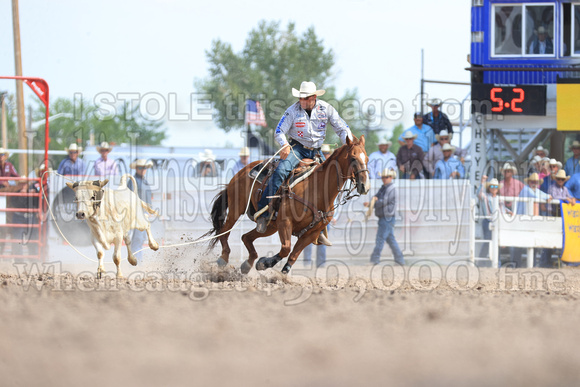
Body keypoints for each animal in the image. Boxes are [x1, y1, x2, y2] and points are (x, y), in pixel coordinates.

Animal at [206, 135, 370, 274]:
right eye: (353, 158)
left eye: (367, 158)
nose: (365, 186)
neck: (316, 190)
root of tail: (242, 171)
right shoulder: (285, 222)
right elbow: (286, 248)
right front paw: (264, 263)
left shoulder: (312, 233)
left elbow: (293, 255)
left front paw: (281, 273)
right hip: (236, 209)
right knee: (224, 232)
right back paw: (223, 259)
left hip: (270, 226)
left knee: (246, 237)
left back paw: (247, 264)